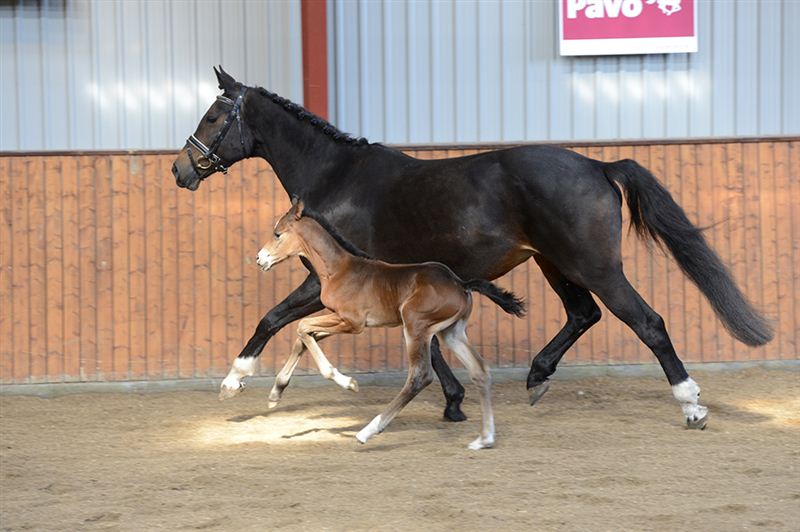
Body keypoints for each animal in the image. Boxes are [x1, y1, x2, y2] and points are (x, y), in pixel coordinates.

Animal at [250, 199, 524, 448]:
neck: (339, 269)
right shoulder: (340, 320)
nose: (260, 259)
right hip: (451, 332)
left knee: (420, 376)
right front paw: (276, 393)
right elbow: (303, 338)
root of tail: (461, 283)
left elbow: (302, 328)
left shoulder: (352, 322)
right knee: (480, 370)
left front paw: (347, 382)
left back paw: (367, 431)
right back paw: (484, 439)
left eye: (277, 234)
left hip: (415, 326)